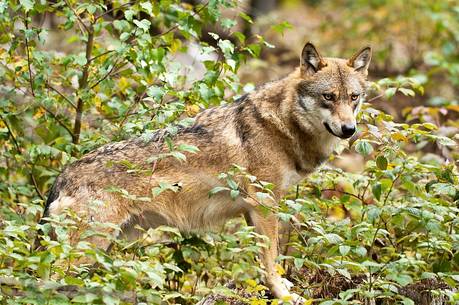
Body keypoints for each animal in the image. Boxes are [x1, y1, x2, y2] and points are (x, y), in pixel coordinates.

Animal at [43, 42, 372, 302]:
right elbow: (272, 259)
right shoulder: (265, 204)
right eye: (329, 97)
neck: (282, 122)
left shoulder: (253, 211)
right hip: (86, 249)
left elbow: (262, 261)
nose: (349, 129)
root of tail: (61, 177)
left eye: (353, 97)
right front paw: (283, 293)